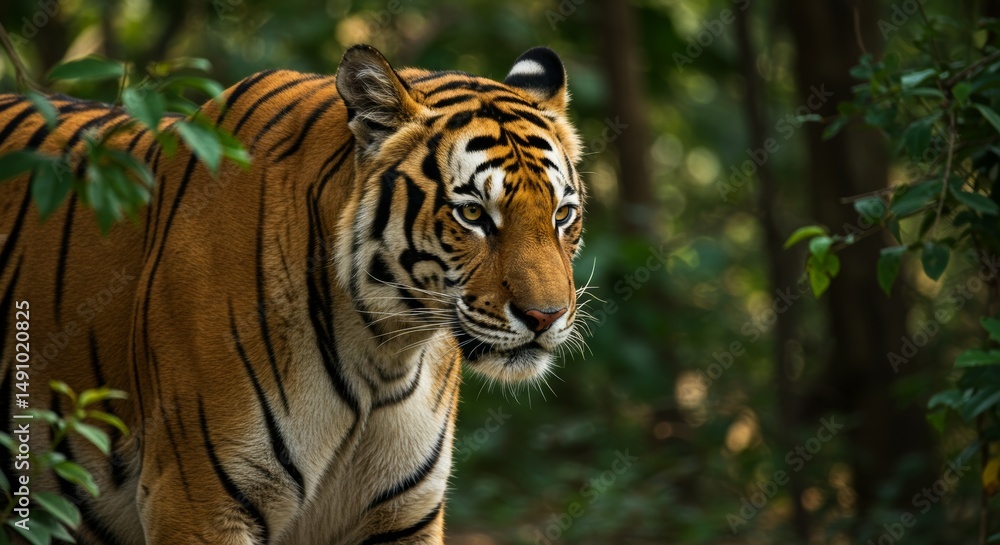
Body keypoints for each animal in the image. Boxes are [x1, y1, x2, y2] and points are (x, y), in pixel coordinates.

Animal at [0, 44, 584, 544]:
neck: (383, 352)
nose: (545, 316)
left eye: (562, 214)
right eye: (473, 214)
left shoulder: (403, 512)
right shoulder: (199, 502)